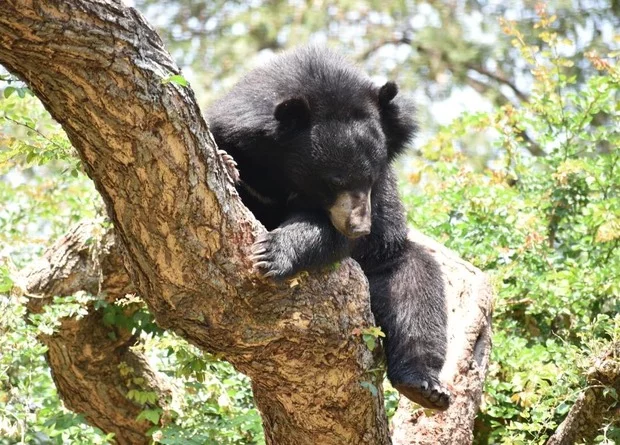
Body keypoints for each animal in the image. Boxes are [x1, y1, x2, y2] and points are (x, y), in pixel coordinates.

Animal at [208, 46, 450, 410]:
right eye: (333, 181)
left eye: (371, 177)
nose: (360, 227)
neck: (285, 173)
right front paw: (227, 164)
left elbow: (330, 233)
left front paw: (272, 254)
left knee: (415, 283)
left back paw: (424, 387)